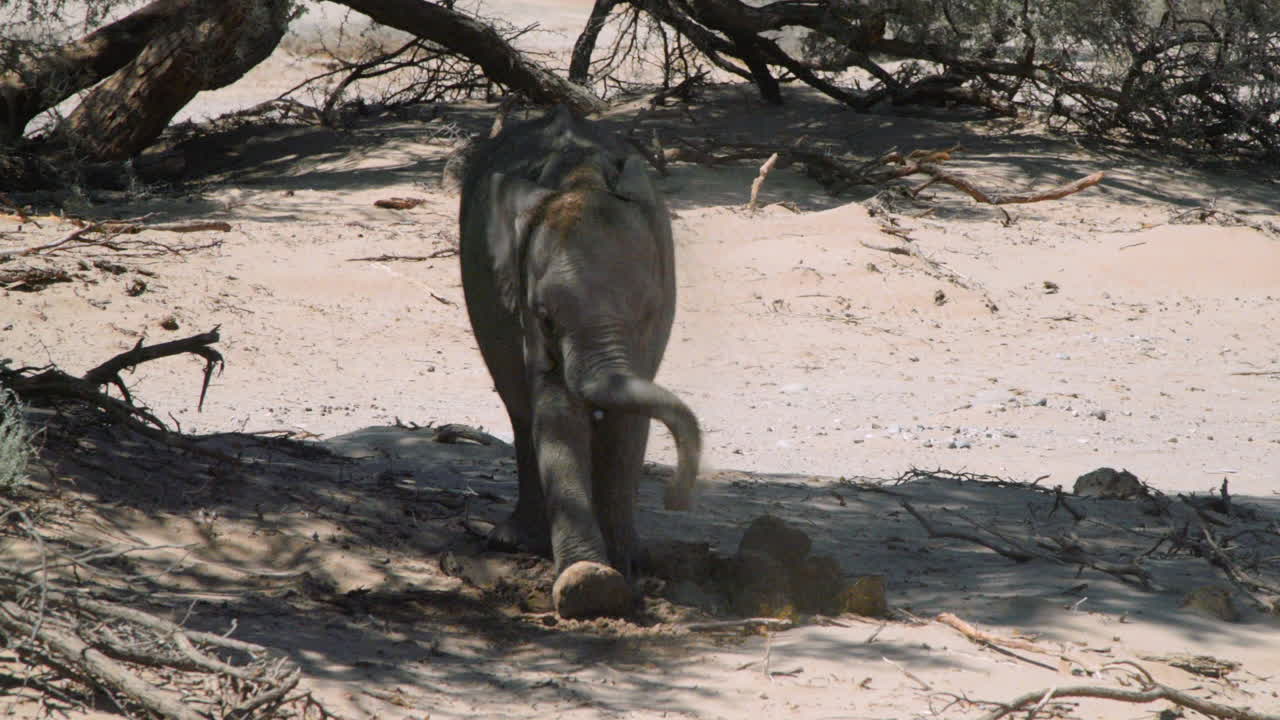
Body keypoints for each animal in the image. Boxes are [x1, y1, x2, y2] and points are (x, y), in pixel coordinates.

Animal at [458, 106, 701, 619]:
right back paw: (515, 542)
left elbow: (630, 422)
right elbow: (555, 415)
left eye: (647, 310)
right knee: (519, 410)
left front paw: (626, 567)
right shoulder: (522, 308)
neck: (581, 178)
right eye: (546, 317)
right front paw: (590, 584)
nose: (677, 496)